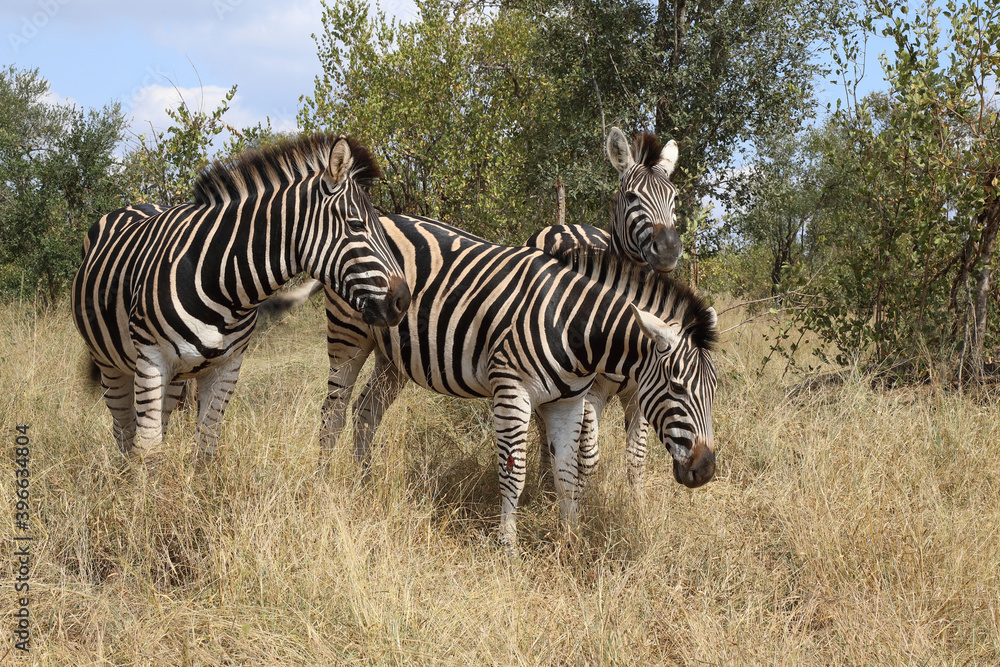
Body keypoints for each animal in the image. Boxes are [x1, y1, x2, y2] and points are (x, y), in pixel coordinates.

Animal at [72, 133, 411, 460]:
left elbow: (205, 450)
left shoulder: (227, 367)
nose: (404, 301)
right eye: (357, 225)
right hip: (111, 366)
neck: (218, 279)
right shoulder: (152, 361)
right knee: (125, 433)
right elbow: (150, 452)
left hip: (177, 376)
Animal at [309, 213, 717, 549]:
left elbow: (567, 472)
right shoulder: (512, 390)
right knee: (333, 413)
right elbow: (514, 472)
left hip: (393, 356)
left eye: (714, 392)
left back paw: (366, 485)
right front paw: (507, 545)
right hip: (349, 334)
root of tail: (378, 217)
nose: (706, 471)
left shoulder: (568, 402)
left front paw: (570, 541)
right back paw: (325, 488)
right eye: (677, 387)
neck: (574, 325)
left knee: (366, 412)